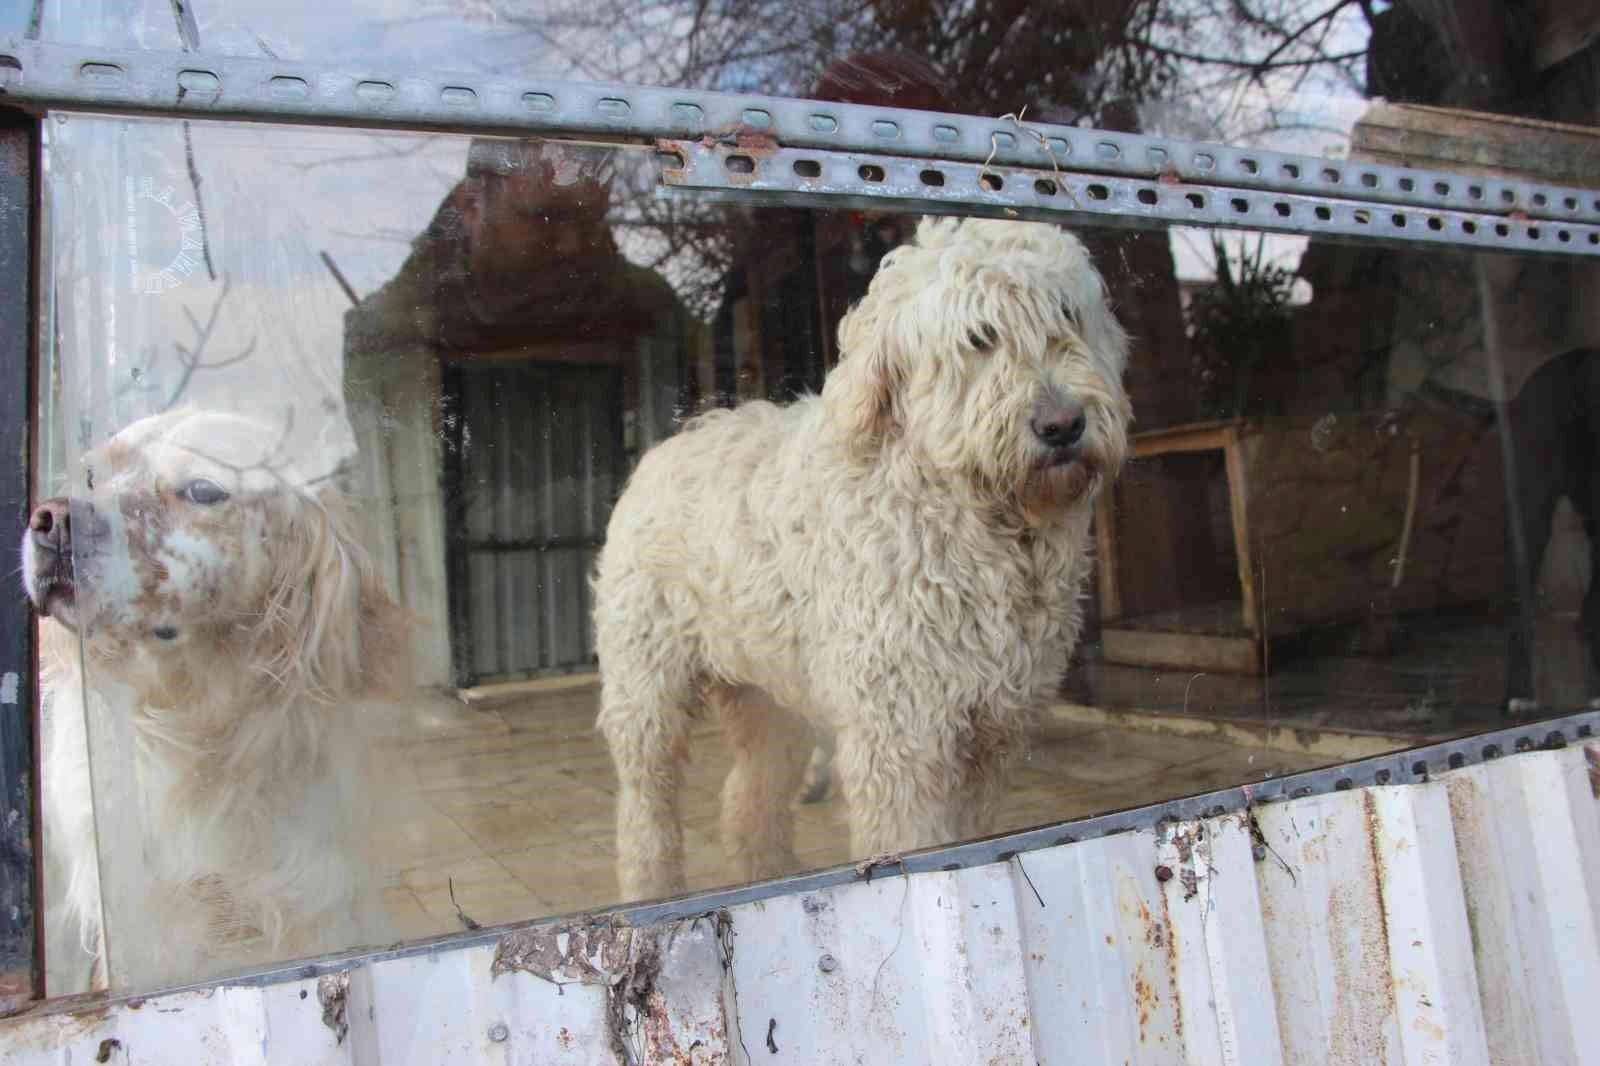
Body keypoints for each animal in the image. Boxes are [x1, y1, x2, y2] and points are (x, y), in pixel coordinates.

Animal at [595, 216, 1132, 896]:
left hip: (769, 696)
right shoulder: (899, 735)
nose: (1062, 426)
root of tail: (663, 449)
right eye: (979, 337)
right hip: (647, 691)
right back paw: (652, 888)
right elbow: (912, 838)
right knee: (646, 811)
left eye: (1067, 315)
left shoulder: (991, 731)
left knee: (750, 800)